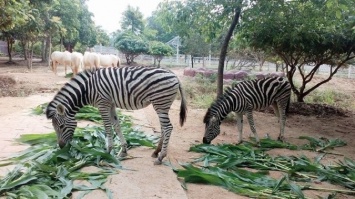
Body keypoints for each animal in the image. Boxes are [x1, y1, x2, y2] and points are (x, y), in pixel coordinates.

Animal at [46, 66, 189, 164]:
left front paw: (107, 151)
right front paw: (123, 151)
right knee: (164, 128)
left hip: (160, 103)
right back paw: (155, 151)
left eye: (61, 127)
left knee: (168, 127)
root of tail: (174, 75)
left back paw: (161, 157)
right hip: (162, 106)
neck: (87, 89)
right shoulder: (111, 104)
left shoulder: (102, 104)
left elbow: (108, 128)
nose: (61, 147)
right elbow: (117, 125)